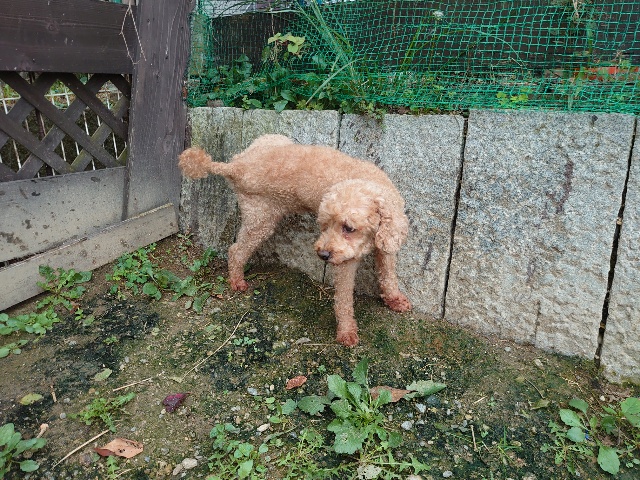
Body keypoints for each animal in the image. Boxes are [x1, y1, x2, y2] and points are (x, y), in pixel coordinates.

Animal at [178, 134, 411, 346]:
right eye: (324, 225)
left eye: (349, 228)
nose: (322, 254)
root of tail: (236, 166)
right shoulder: (345, 261)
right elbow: (344, 298)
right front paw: (346, 331)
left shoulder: (387, 242)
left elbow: (388, 275)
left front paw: (394, 299)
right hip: (261, 218)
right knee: (236, 250)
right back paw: (237, 281)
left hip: (273, 141)